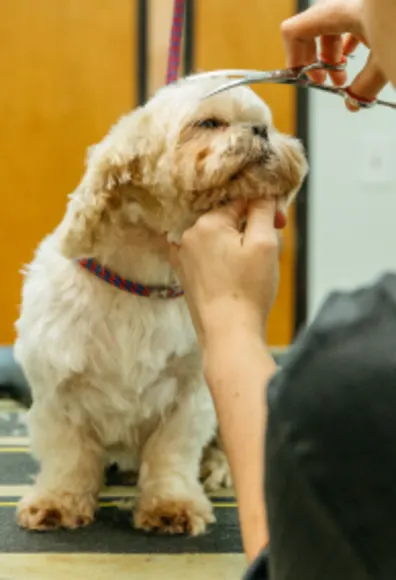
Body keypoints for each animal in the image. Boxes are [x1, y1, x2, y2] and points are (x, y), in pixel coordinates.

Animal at [13, 76, 308, 536]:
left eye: (266, 123)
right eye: (209, 122)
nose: (260, 131)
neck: (141, 285)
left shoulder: (189, 396)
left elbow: (171, 452)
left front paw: (171, 504)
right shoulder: (57, 393)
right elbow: (68, 455)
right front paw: (58, 502)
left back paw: (218, 467)